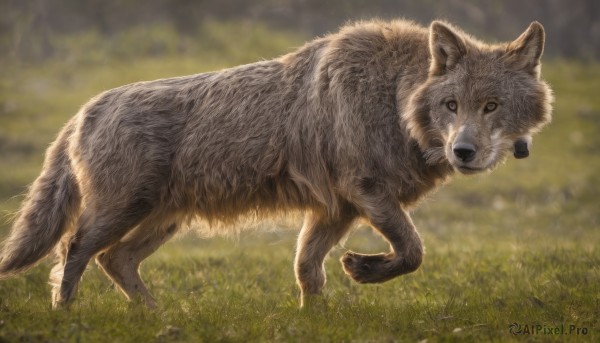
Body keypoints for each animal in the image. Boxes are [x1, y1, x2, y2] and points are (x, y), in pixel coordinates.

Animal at [0, 18, 552, 310]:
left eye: (491, 106)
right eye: (452, 106)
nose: (464, 152)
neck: (393, 101)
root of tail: (83, 110)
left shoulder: (336, 212)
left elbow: (308, 270)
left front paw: (318, 318)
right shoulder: (367, 195)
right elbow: (412, 251)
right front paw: (362, 271)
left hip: (163, 221)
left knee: (115, 261)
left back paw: (156, 318)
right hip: (121, 213)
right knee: (74, 253)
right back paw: (67, 317)